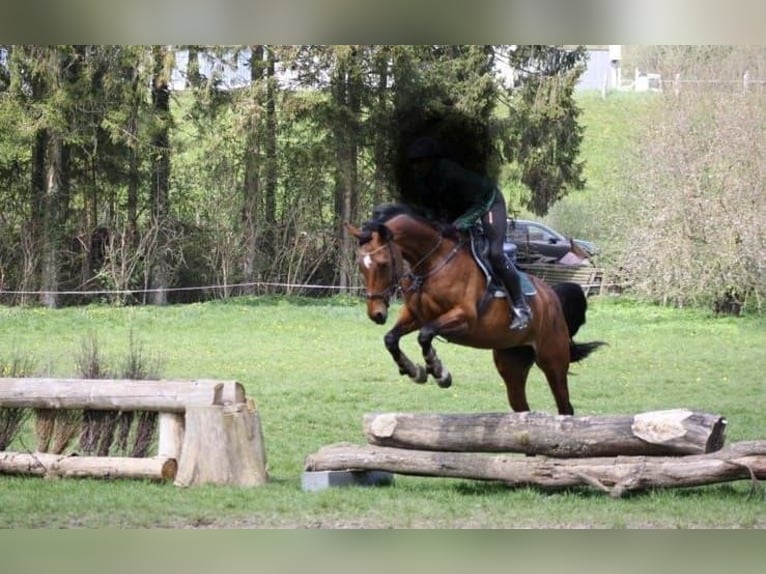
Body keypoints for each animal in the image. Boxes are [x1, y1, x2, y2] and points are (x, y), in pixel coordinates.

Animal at [346, 205, 608, 416]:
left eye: (382, 264)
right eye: (360, 266)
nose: (376, 314)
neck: (433, 263)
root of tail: (552, 297)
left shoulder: (464, 318)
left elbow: (425, 335)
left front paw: (439, 372)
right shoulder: (415, 315)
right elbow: (391, 338)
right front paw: (414, 371)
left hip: (553, 360)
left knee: (565, 406)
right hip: (512, 362)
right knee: (521, 406)